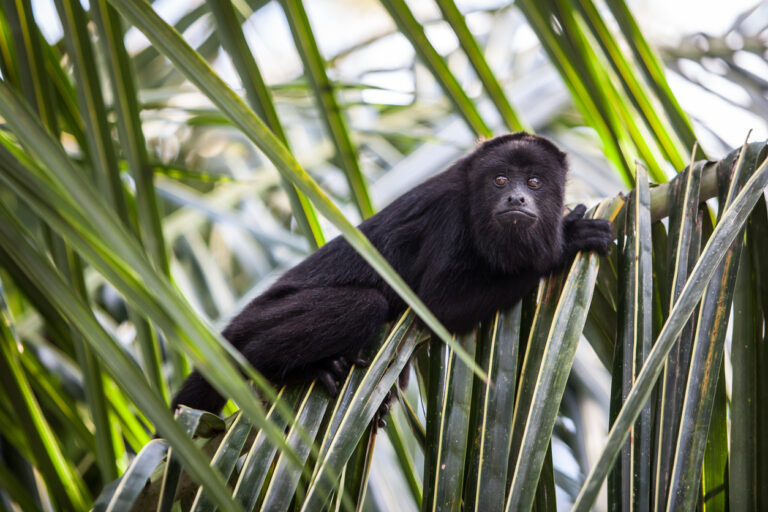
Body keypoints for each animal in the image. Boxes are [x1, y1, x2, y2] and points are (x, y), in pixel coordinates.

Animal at [171, 132, 614, 417]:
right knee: (364, 303)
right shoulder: (451, 215)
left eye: (535, 182)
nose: (516, 197)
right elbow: (438, 307)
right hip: (258, 321)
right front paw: (565, 244)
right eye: (500, 179)